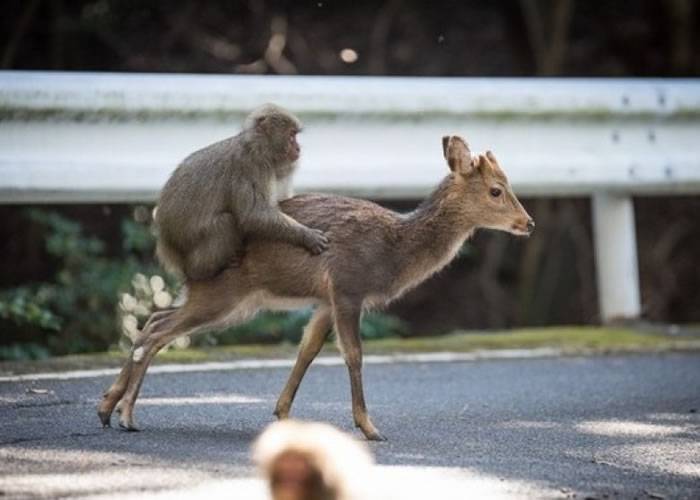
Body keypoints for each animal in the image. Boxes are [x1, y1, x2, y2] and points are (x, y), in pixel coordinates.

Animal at [97, 134, 532, 442]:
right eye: (496, 190)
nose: (528, 223)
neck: (393, 250)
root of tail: (184, 259)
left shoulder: (325, 300)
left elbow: (307, 350)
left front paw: (282, 414)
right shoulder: (347, 286)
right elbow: (353, 354)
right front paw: (370, 427)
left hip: (227, 300)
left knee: (154, 319)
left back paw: (107, 408)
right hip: (224, 294)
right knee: (158, 331)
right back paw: (127, 415)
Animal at [153, 103, 328, 282]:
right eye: (292, 135)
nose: (298, 148)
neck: (258, 148)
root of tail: (166, 242)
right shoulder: (251, 167)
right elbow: (253, 215)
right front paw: (305, 235)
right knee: (226, 222)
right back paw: (201, 271)